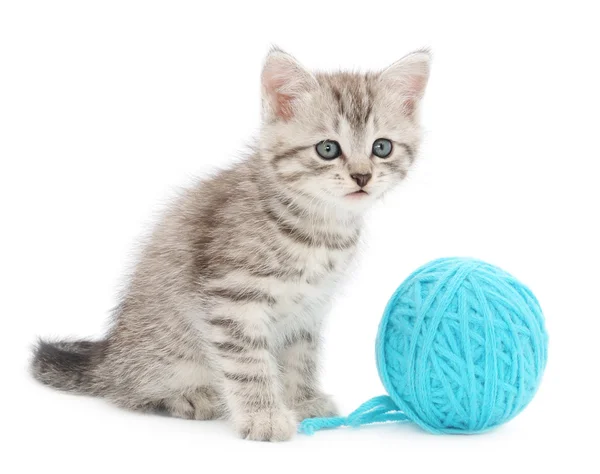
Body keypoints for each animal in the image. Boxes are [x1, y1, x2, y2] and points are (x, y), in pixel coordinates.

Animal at [31, 47, 432, 440]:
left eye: (382, 147)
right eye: (328, 149)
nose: (362, 176)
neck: (318, 228)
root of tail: (108, 359)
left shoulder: (309, 307)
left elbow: (300, 357)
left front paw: (301, 400)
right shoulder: (233, 298)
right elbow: (248, 362)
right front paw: (264, 416)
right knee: (128, 392)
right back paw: (188, 396)